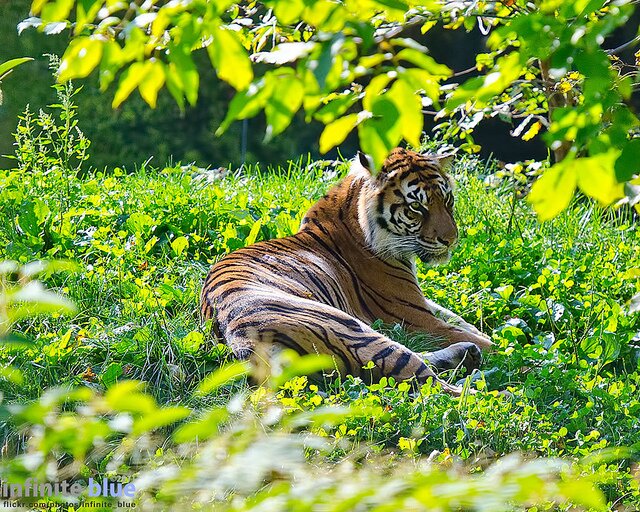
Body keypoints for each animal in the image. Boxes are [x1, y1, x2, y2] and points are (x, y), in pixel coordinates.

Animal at [202, 148, 492, 396]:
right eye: (416, 207)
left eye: (447, 200)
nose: (451, 240)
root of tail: (243, 345)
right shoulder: (414, 317)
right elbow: (477, 337)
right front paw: (495, 341)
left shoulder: (421, 304)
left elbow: (456, 318)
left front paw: (480, 332)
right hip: (351, 328)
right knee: (430, 382)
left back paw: (468, 353)